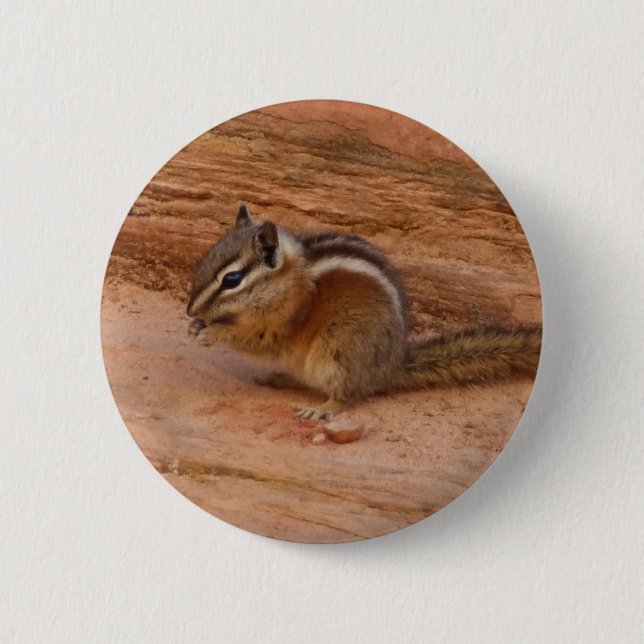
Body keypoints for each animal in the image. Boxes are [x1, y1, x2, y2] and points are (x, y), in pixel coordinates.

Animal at [187, 205, 541, 420]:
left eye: (232, 279)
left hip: (338, 350)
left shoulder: (286, 320)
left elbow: (259, 340)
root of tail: (389, 368)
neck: (287, 280)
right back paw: (279, 377)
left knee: (348, 395)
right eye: (205, 259)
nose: (189, 309)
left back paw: (324, 409)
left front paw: (212, 332)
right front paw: (196, 326)